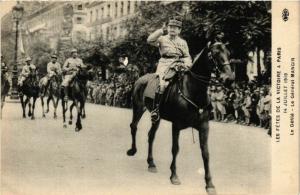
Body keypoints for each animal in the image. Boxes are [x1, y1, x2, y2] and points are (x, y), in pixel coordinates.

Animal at [126, 40, 234, 193]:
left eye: (228, 53)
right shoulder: (176, 125)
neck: (193, 90)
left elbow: (206, 153)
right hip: (138, 108)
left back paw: (151, 163)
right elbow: (175, 149)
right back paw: (133, 150)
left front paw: (209, 184)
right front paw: (174, 176)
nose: (229, 78)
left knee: (151, 135)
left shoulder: (204, 127)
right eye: (214, 54)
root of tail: (140, 78)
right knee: (134, 126)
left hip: (156, 118)